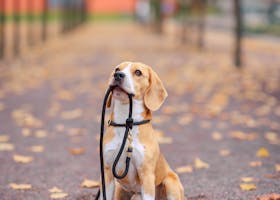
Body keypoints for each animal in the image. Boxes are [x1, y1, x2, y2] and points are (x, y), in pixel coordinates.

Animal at [101, 61, 185, 199]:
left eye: (138, 72)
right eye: (117, 69)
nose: (118, 75)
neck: (127, 124)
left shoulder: (147, 176)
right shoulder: (107, 174)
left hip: (170, 182)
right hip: (120, 189)